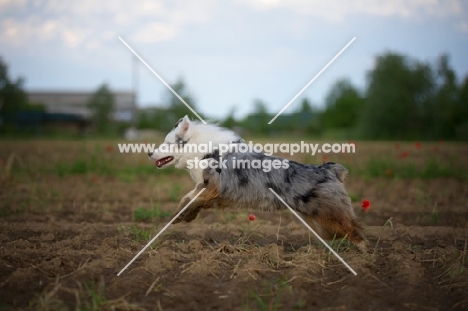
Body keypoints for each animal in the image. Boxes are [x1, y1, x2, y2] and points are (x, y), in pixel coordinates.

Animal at [148, 116, 368, 252]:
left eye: (167, 144)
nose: (149, 152)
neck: (206, 150)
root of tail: (328, 170)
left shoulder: (215, 187)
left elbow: (194, 200)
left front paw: (183, 215)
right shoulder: (203, 186)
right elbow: (187, 198)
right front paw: (181, 216)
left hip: (331, 215)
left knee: (356, 231)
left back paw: (364, 259)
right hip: (321, 222)